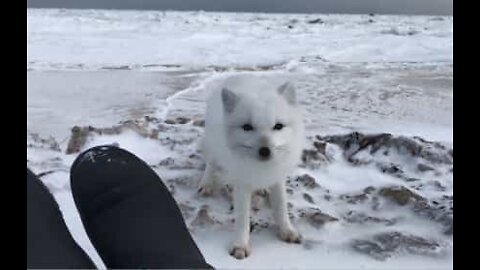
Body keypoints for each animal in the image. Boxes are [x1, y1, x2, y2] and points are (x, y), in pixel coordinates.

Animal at [198, 75, 304, 260]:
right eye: (247, 127)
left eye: (278, 126)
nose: (265, 150)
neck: (261, 169)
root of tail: (236, 75)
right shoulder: (242, 183)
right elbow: (242, 218)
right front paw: (240, 245)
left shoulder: (278, 178)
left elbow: (281, 207)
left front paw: (287, 231)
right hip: (212, 146)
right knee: (210, 164)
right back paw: (206, 184)